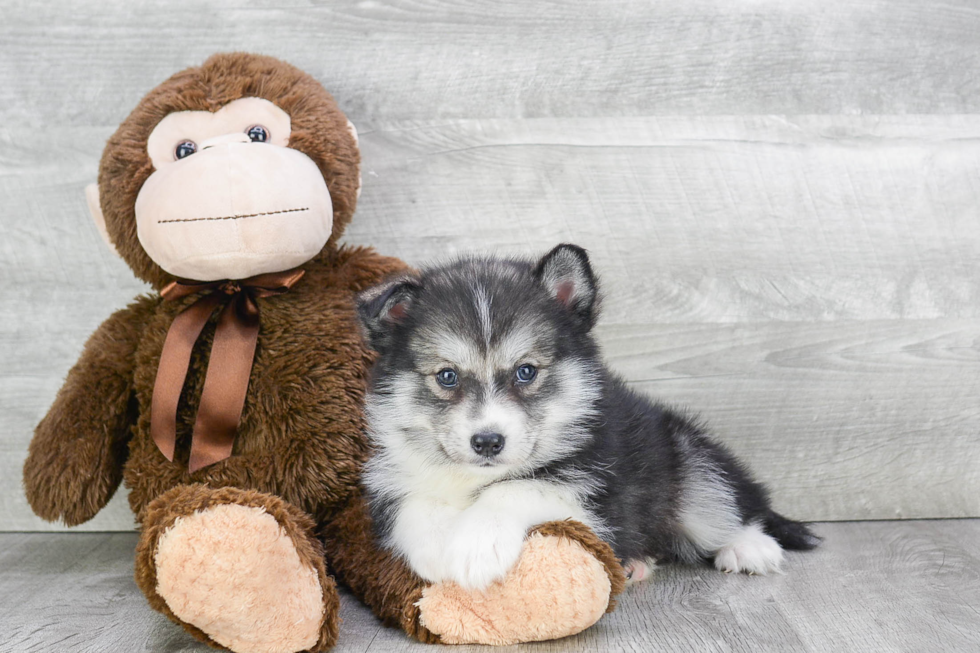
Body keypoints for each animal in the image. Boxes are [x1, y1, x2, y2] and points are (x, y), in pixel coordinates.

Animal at [358, 242, 820, 588]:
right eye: (447, 376)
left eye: (526, 371)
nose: (488, 442)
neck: (472, 479)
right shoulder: (392, 477)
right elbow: (415, 504)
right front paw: (437, 549)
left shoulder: (595, 493)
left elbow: (516, 488)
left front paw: (476, 544)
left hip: (690, 462)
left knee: (732, 504)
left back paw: (748, 546)